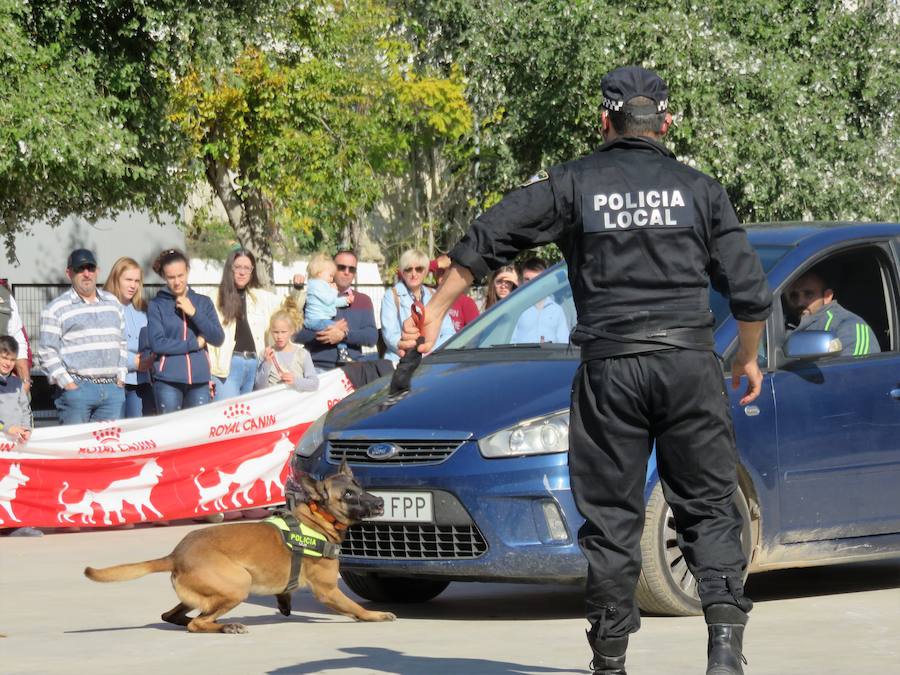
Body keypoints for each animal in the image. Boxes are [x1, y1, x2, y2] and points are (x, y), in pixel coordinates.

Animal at [84, 462, 394, 632]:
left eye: (359, 486)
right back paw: (225, 626)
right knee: (198, 623)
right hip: (238, 584)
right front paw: (375, 615)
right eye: (348, 495)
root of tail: (175, 554)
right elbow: (355, 608)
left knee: (175, 616)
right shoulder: (328, 590)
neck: (316, 519)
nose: (380, 501)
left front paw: (284, 602)